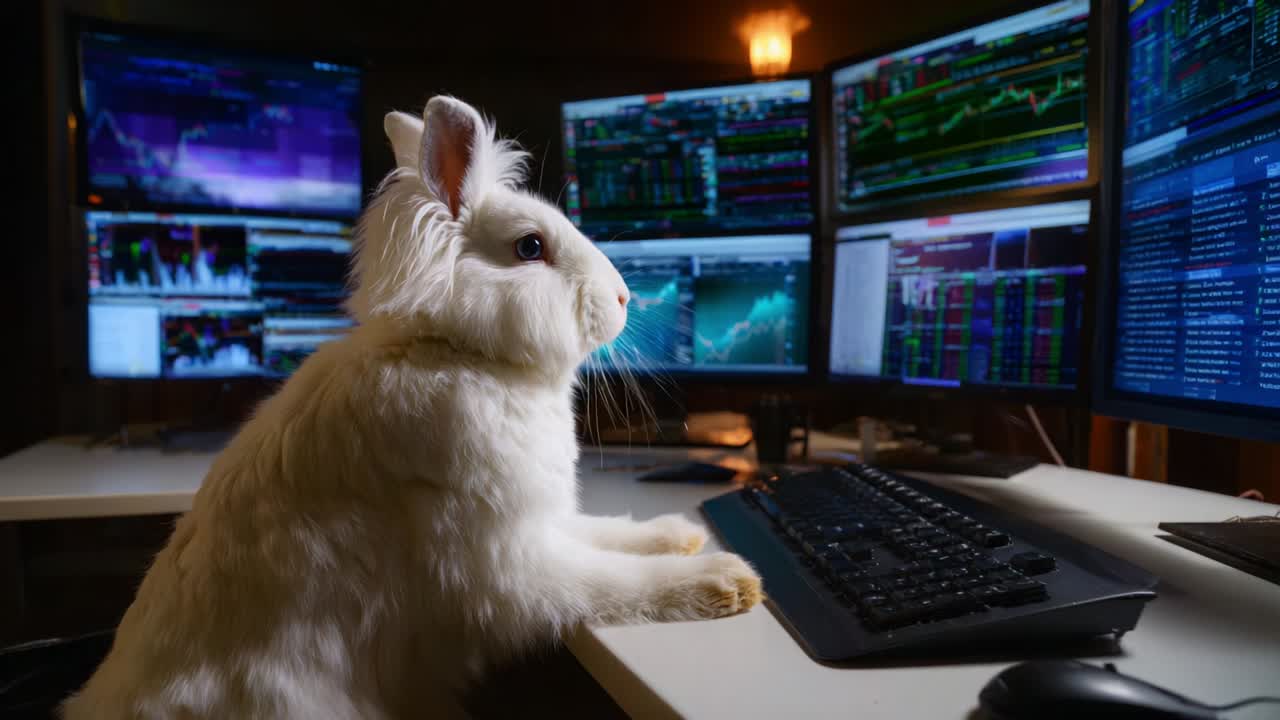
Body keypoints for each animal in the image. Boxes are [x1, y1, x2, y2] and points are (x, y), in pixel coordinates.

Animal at [63, 96, 762, 720]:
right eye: (530, 248)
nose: (622, 298)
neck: (459, 353)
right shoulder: (502, 563)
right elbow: (609, 584)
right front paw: (723, 579)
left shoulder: (542, 518)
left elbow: (610, 533)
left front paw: (679, 534)